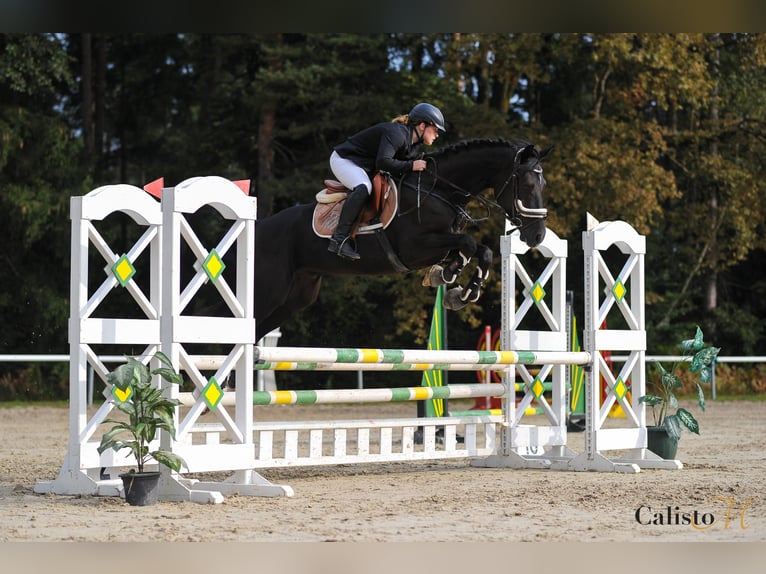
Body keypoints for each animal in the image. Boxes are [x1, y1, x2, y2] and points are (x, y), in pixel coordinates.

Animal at [256, 138, 552, 342]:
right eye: (528, 185)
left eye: (543, 184)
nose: (538, 235)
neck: (439, 189)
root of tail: (260, 227)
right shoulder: (414, 249)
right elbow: (468, 243)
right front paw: (449, 276)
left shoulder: (441, 242)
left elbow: (482, 250)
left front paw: (460, 290)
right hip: (271, 291)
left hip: (297, 296)